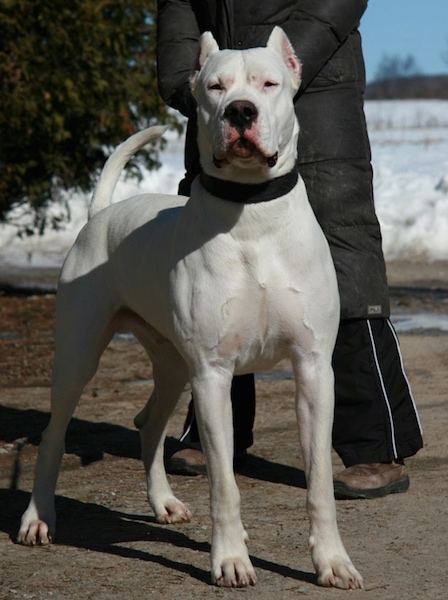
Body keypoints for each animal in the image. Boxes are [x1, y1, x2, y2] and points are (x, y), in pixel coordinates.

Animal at [19, 28, 364, 592]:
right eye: (214, 87)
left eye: (269, 84)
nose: (240, 111)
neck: (252, 213)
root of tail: (100, 216)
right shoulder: (213, 374)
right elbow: (224, 482)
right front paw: (231, 559)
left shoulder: (313, 368)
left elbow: (319, 483)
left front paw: (333, 561)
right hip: (80, 354)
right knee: (53, 433)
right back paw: (37, 519)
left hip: (173, 363)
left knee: (148, 423)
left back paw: (162, 502)